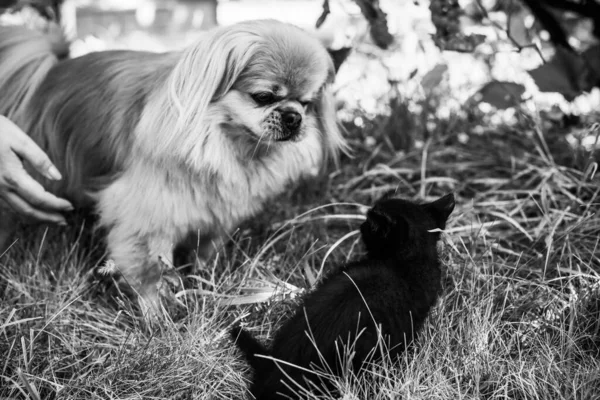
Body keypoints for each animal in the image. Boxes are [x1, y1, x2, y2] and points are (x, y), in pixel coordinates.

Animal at [0, 18, 346, 312]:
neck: (228, 143)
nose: (293, 117)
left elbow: (207, 248)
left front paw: (205, 277)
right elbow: (149, 269)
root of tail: (47, 75)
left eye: (307, 104)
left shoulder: (217, 207)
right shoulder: (147, 210)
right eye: (263, 97)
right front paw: (156, 315)